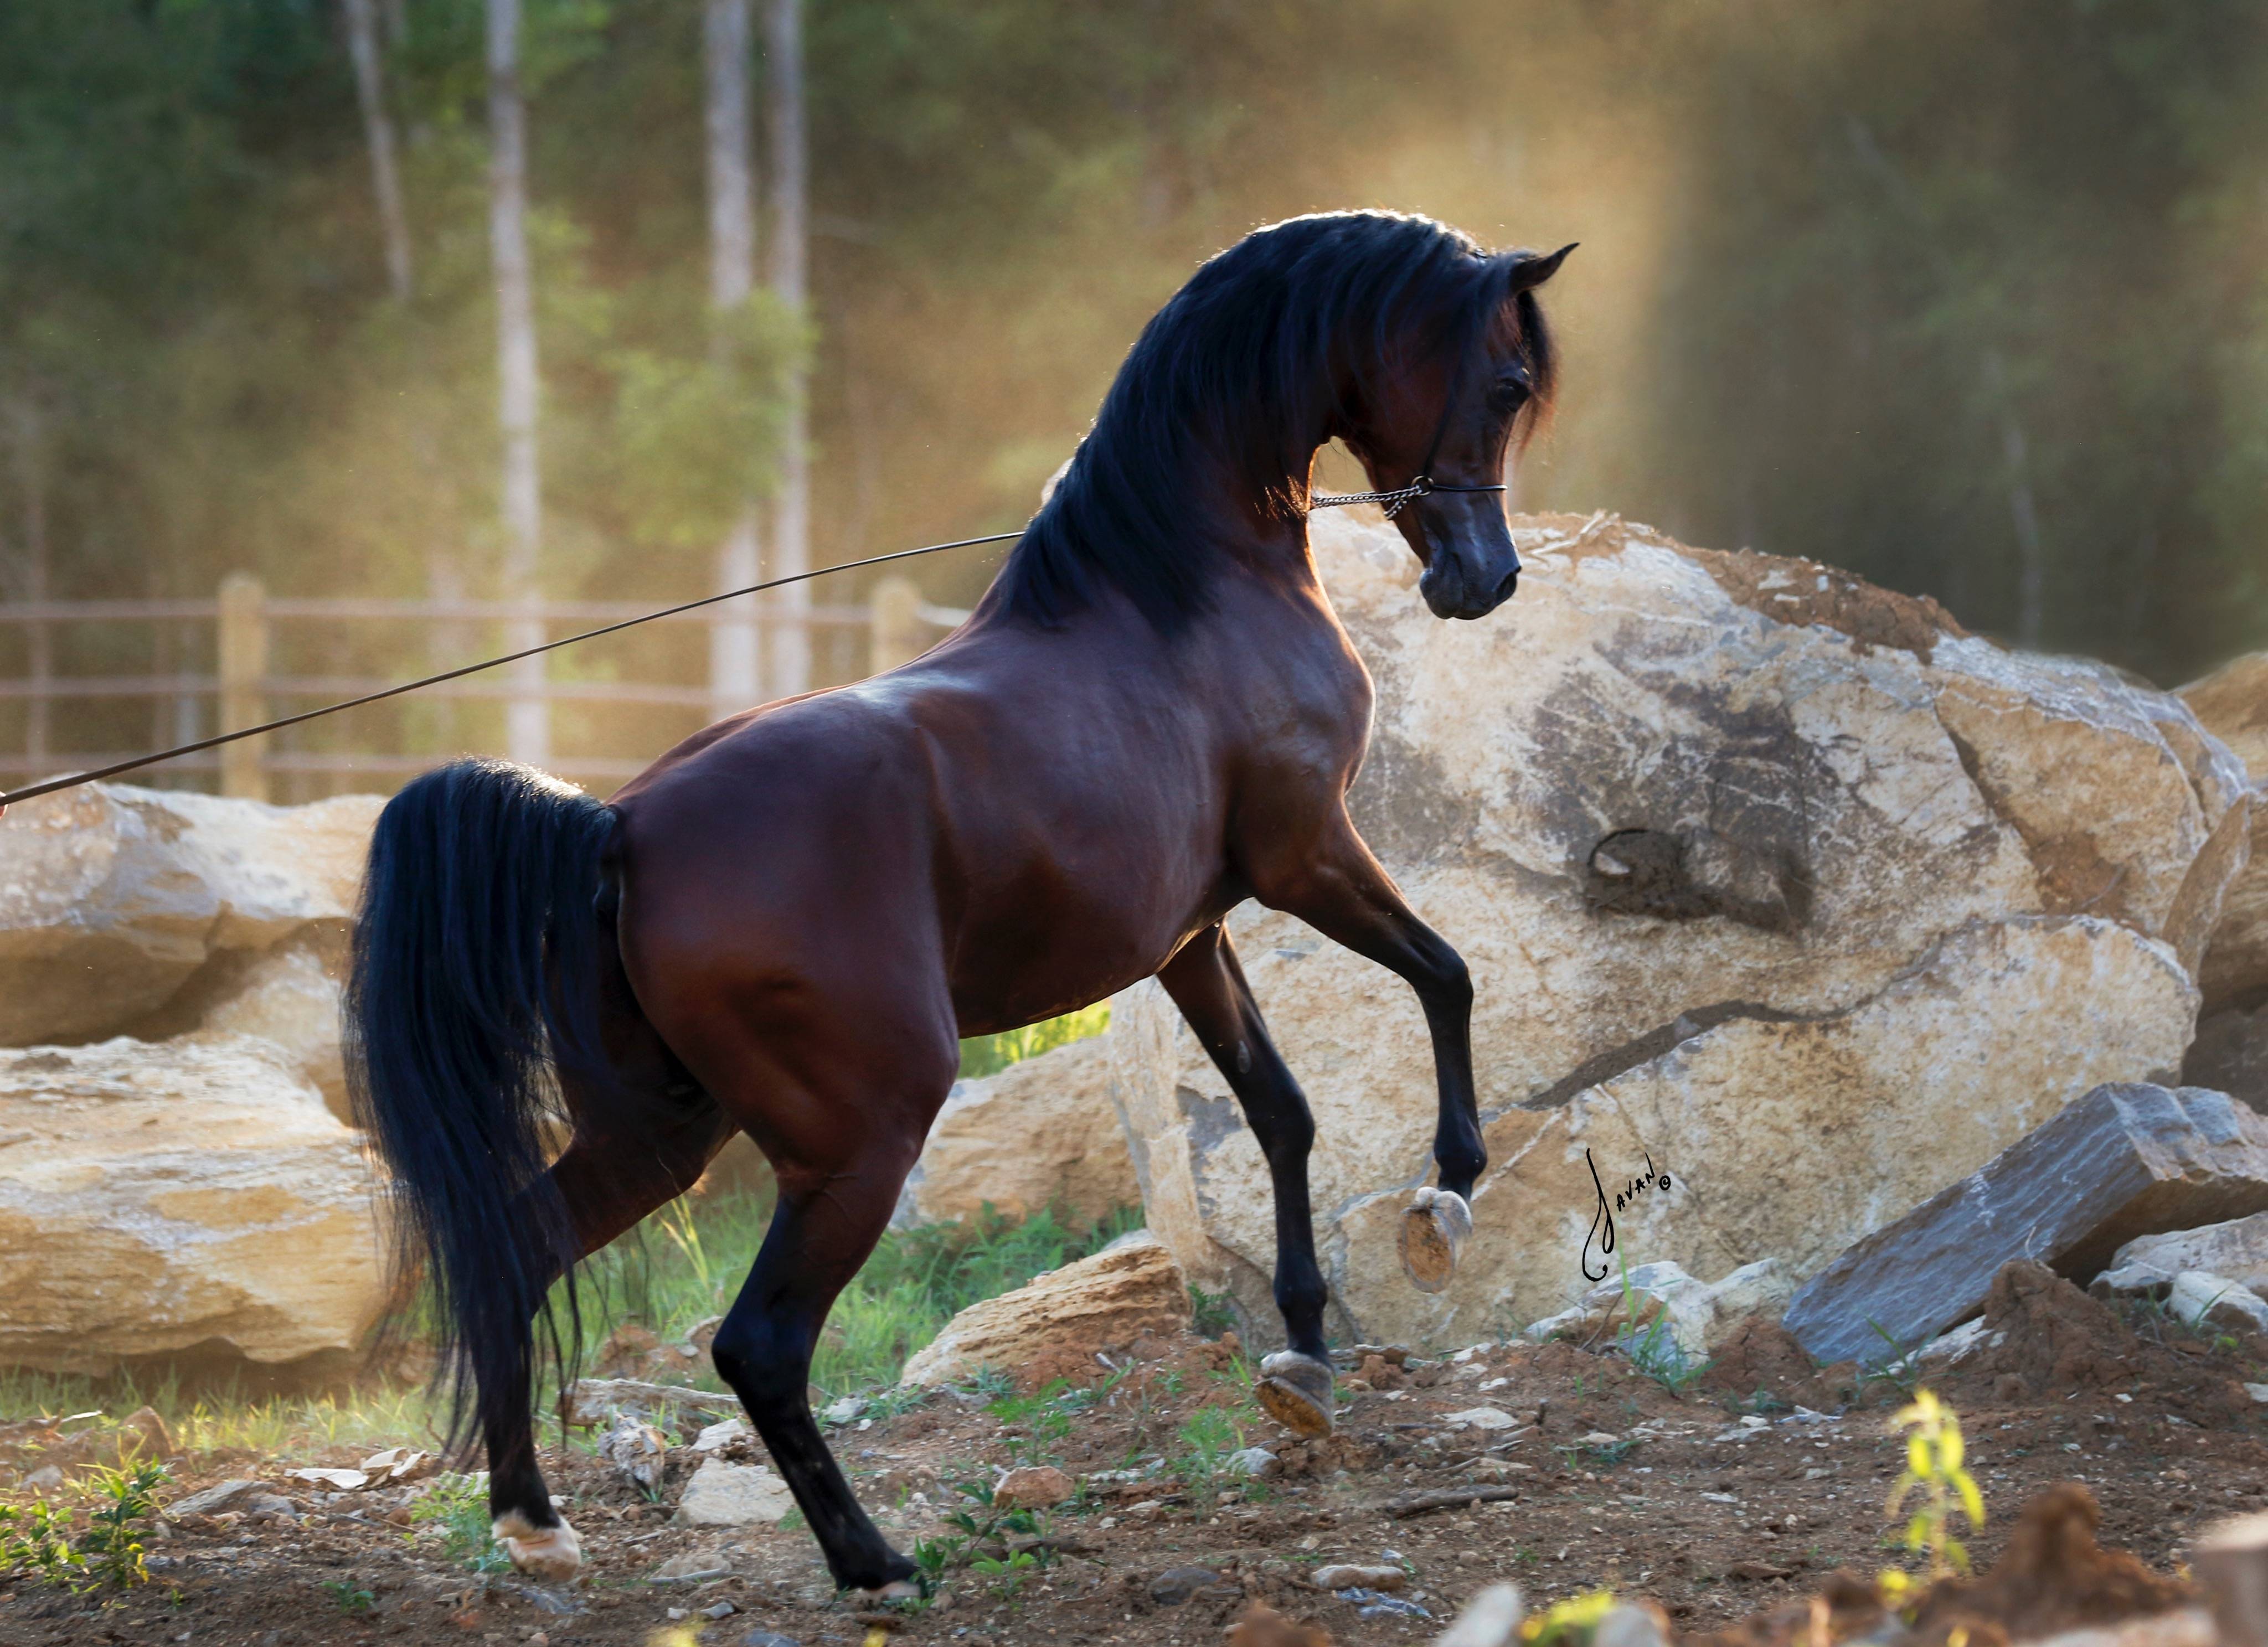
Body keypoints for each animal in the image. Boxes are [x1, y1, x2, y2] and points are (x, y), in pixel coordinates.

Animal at [345, 208, 1571, 1595]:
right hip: (859, 1132)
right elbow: (1446, 972)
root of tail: (620, 829)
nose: (1483, 579)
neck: (1181, 595)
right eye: (1505, 382)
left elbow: (1281, 1110)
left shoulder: (1189, 937)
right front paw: (1445, 1195)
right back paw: (872, 1557)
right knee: (757, 1342)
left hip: (664, 1127)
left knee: (516, 1255)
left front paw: (1302, 1358)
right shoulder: (1306, 856)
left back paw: (534, 1521)